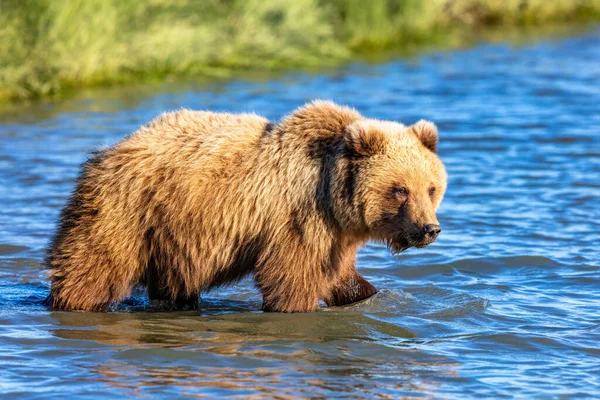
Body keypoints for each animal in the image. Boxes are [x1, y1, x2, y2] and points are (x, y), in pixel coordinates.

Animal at [47, 100, 446, 312]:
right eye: (400, 190)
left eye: (430, 188)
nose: (430, 229)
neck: (332, 192)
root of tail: (108, 151)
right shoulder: (297, 218)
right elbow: (291, 278)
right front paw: (295, 306)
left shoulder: (334, 234)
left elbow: (341, 278)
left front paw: (365, 294)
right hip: (128, 211)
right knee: (92, 266)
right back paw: (71, 301)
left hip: (169, 236)